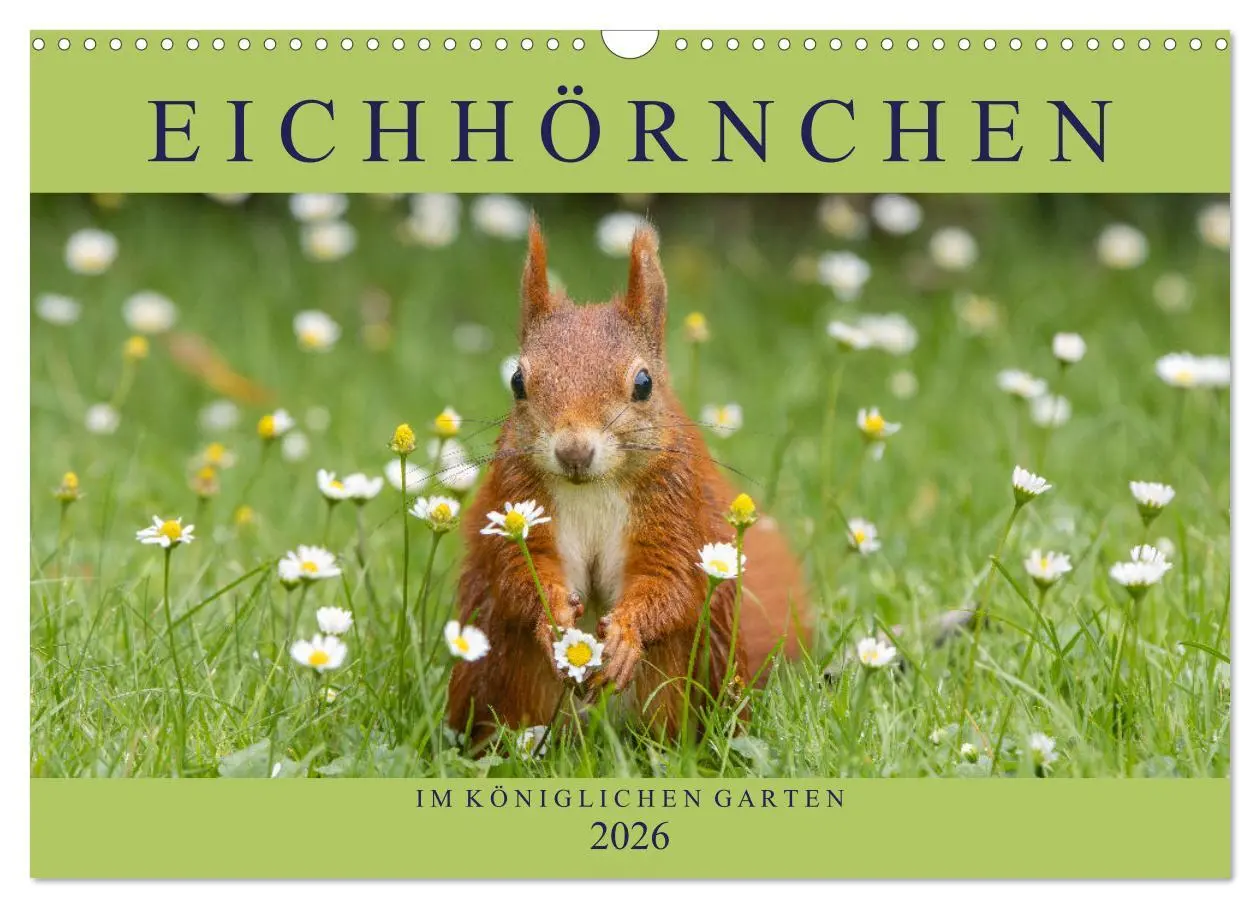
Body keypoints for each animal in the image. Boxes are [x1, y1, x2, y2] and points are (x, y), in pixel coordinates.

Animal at [447, 219, 809, 743]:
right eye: (517, 381)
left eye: (643, 384)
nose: (574, 452)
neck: (592, 489)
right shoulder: (517, 501)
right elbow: (519, 573)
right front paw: (553, 617)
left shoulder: (674, 509)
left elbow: (671, 582)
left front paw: (625, 637)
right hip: (506, 671)